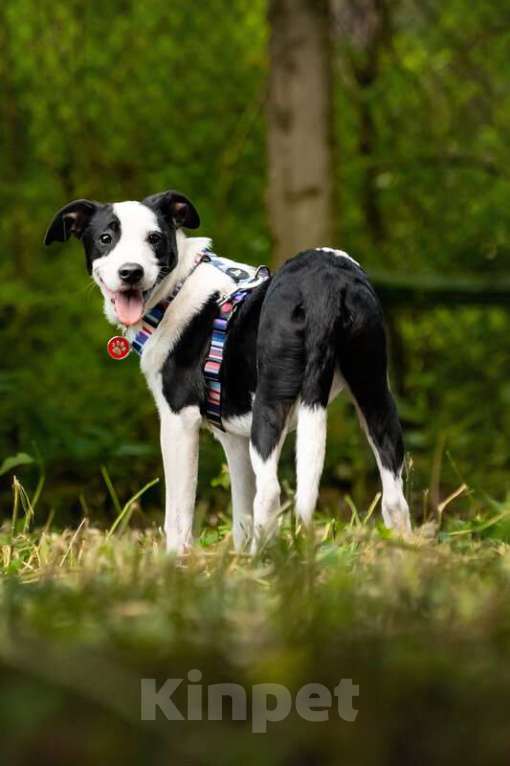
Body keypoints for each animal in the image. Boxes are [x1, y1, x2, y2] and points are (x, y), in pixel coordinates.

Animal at [42, 190, 410, 552]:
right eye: (106, 239)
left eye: (154, 238)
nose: (130, 272)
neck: (176, 290)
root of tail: (324, 279)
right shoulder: (236, 440)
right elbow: (240, 518)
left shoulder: (179, 421)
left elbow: (178, 517)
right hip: (374, 394)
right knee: (394, 497)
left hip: (271, 403)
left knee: (270, 494)